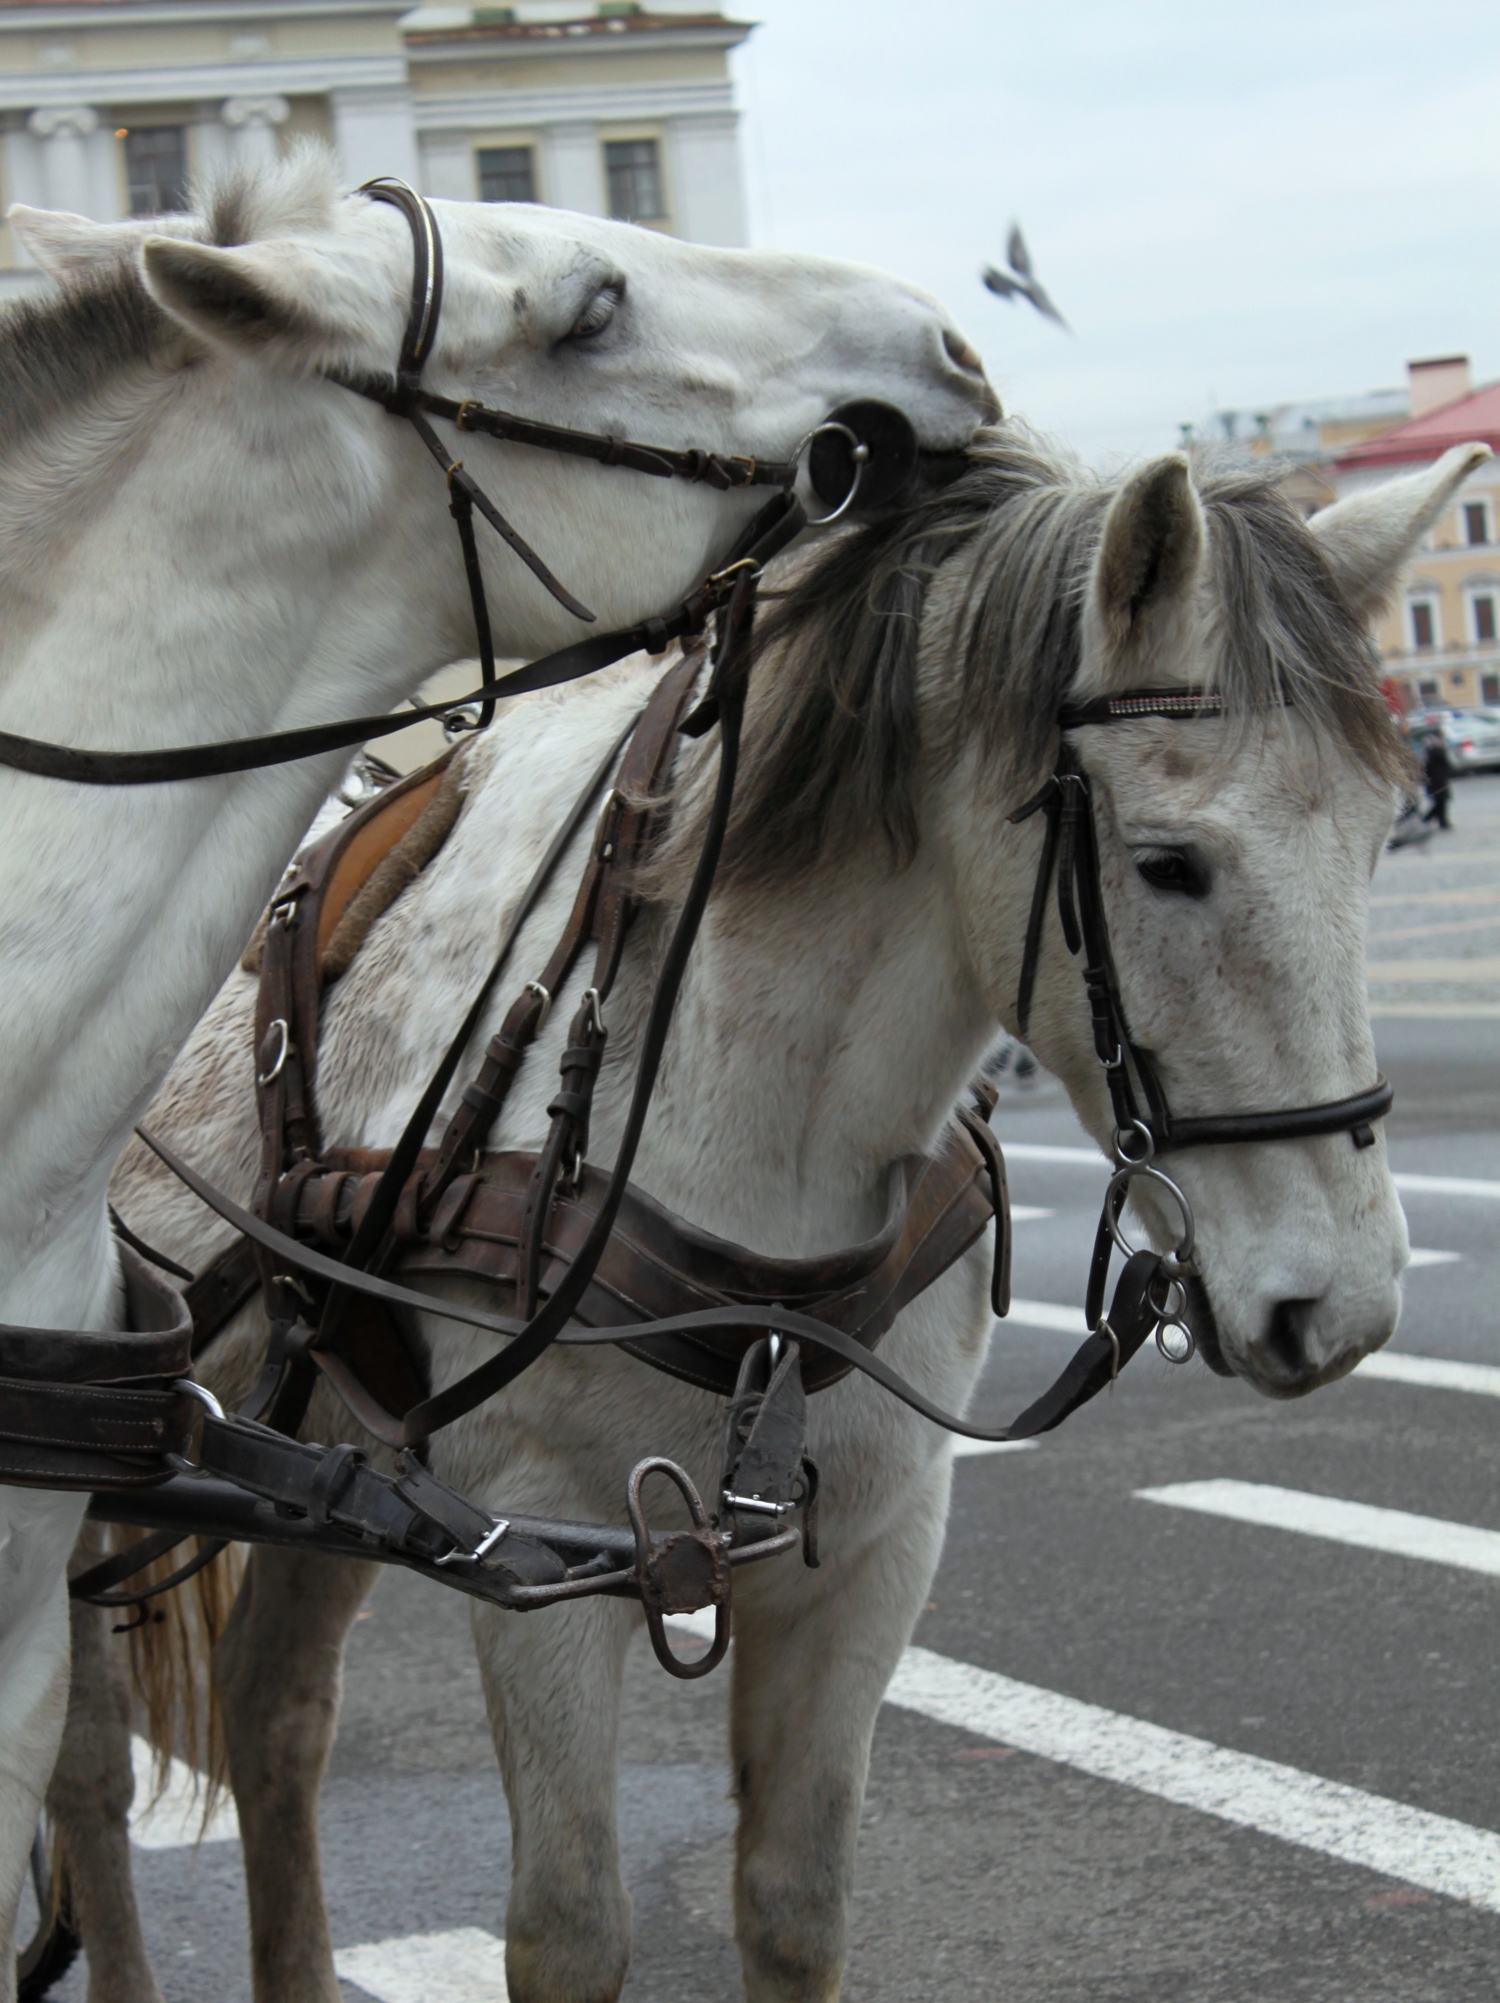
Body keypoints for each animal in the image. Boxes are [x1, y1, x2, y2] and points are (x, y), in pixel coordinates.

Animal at [96, 430, 1489, 1994]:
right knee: (85, 1772)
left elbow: (796, 1898)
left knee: (273, 1711)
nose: (1345, 1304)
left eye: (1379, 835)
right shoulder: (535, 1543)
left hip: (326, 1435)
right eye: (1170, 862)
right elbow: (569, 1927)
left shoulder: (872, 1551)